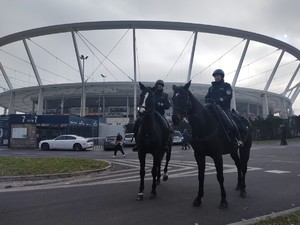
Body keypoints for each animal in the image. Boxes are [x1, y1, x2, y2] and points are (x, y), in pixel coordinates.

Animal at [171, 80, 251, 208]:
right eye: (173, 98)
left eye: (183, 97)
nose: (174, 119)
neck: (205, 125)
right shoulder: (199, 155)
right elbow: (200, 176)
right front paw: (198, 198)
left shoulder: (217, 156)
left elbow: (220, 177)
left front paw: (223, 200)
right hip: (233, 150)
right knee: (238, 164)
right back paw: (239, 185)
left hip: (245, 149)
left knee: (243, 166)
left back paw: (243, 189)